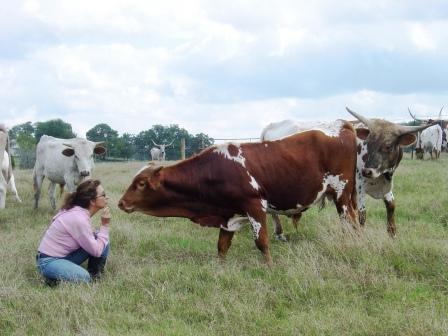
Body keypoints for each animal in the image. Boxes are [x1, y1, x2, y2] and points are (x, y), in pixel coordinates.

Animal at [117, 121, 358, 266]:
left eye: (141, 183)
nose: (121, 203)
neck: (213, 170)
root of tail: (341, 125)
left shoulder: (255, 206)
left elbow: (262, 242)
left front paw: (270, 268)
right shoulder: (228, 215)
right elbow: (222, 246)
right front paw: (220, 269)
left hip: (342, 195)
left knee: (350, 224)